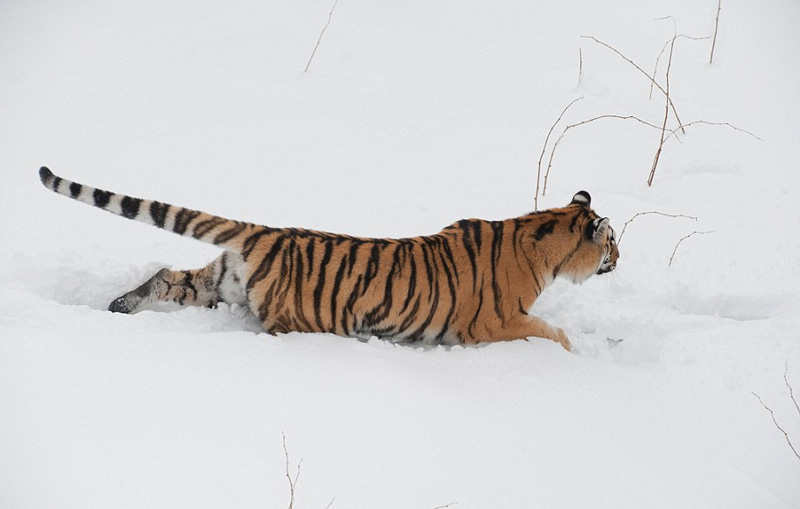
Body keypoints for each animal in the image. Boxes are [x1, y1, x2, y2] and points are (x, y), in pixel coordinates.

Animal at [39, 167, 620, 350]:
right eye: (612, 239)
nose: (620, 256)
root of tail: (268, 233)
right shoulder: (494, 323)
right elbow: (552, 333)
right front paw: (571, 352)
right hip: (296, 318)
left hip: (215, 281)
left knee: (163, 276)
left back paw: (117, 306)